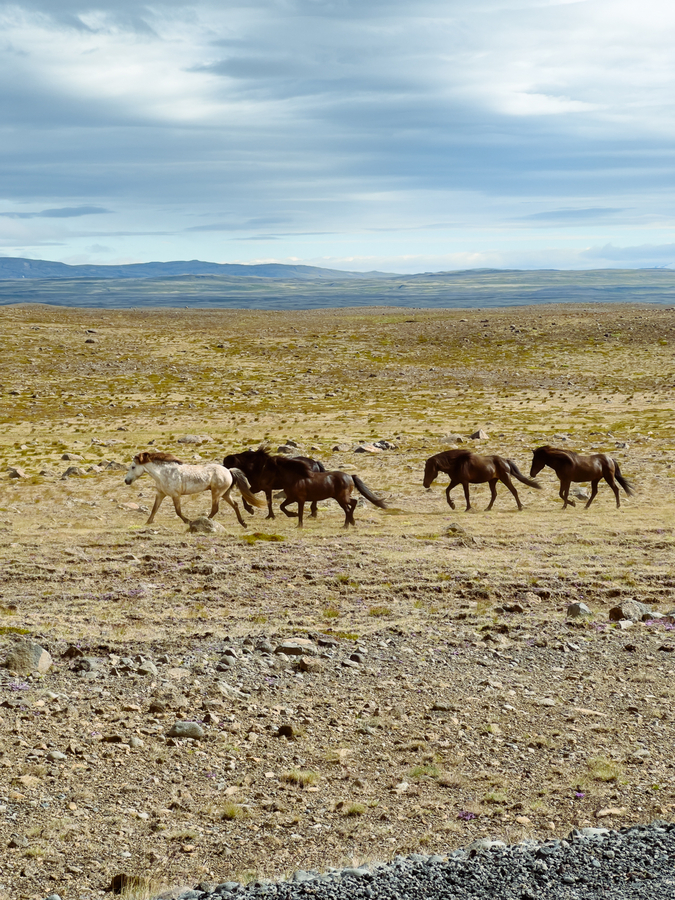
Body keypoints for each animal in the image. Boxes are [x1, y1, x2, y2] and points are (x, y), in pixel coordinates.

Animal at [124, 451, 265, 526]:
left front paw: (189, 521)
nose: (126, 481)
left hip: (216, 493)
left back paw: (203, 521)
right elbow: (154, 509)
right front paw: (148, 523)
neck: (164, 473)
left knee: (215, 509)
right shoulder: (160, 494)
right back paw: (243, 523)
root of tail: (228, 470)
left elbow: (178, 511)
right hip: (225, 493)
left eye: (133, 467)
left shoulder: (175, 495)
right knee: (235, 504)